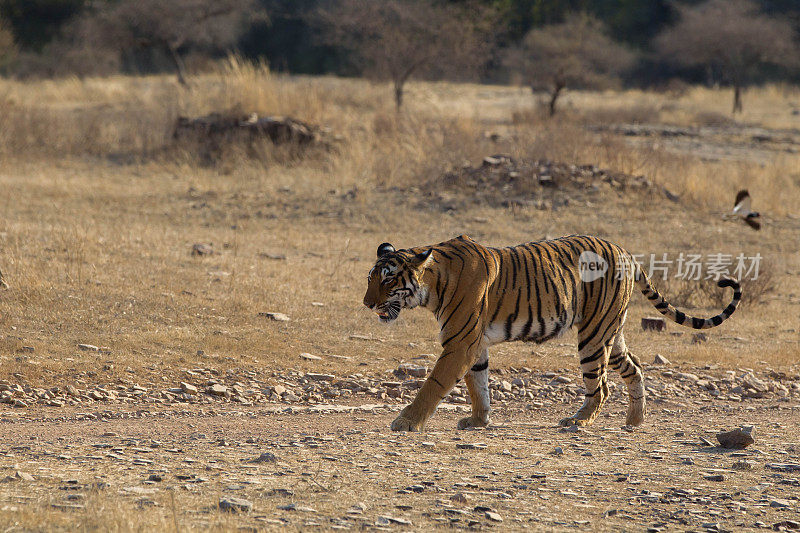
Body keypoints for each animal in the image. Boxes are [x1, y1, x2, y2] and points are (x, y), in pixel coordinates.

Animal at [360, 235, 736, 430]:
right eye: (370, 278)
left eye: (388, 280)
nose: (366, 303)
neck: (433, 285)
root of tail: (626, 252)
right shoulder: (473, 344)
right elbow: (477, 384)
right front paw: (478, 420)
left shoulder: (459, 343)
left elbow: (435, 384)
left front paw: (406, 422)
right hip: (611, 332)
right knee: (635, 368)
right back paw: (634, 420)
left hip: (593, 335)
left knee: (600, 387)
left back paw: (578, 420)